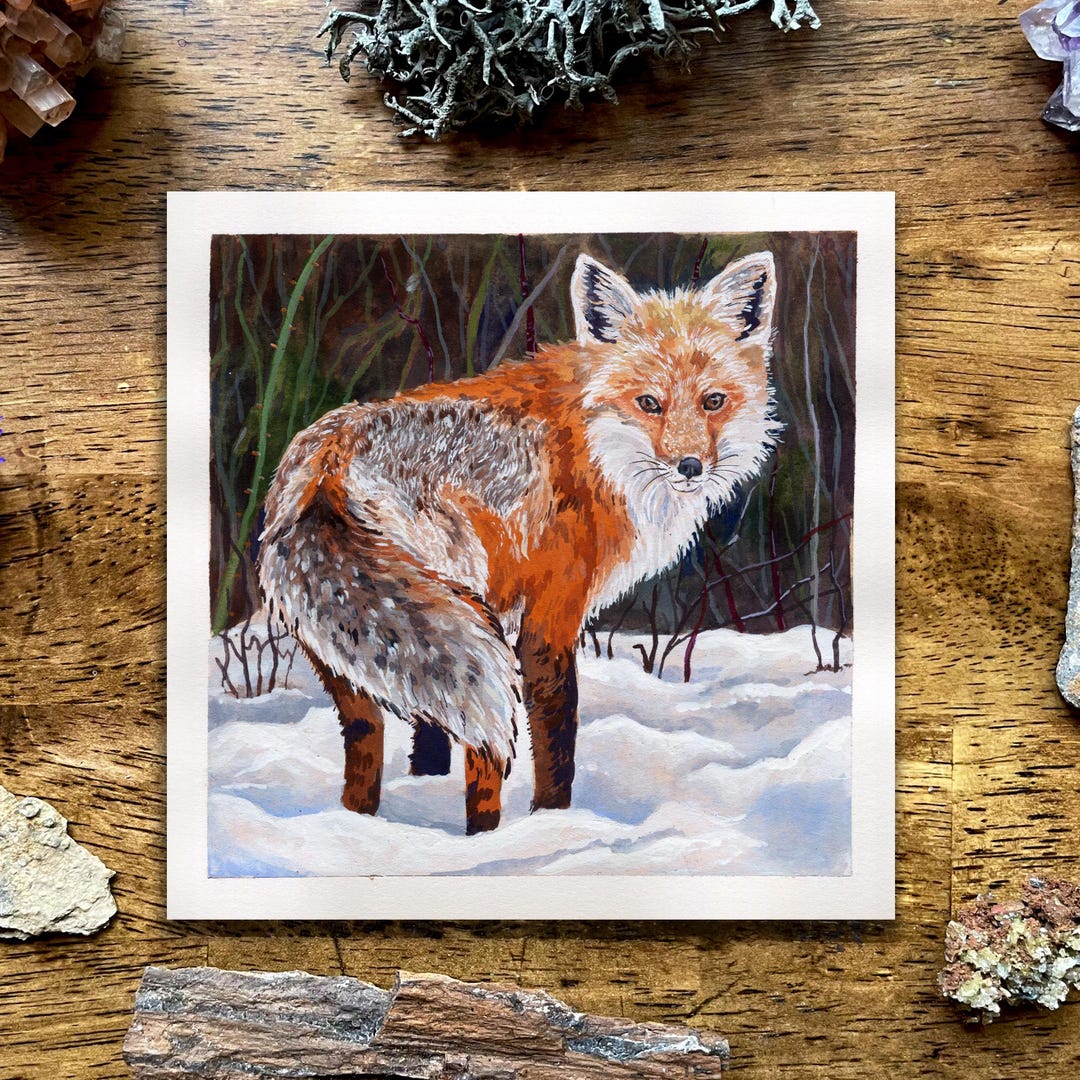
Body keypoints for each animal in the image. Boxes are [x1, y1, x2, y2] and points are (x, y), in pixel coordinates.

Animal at [258, 250, 779, 835]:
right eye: (649, 403)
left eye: (713, 401)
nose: (690, 466)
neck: (594, 448)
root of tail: (332, 457)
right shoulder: (551, 614)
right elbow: (556, 737)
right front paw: (554, 820)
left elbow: (433, 732)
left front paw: (428, 785)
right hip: (458, 616)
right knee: (482, 754)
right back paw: (484, 838)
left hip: (360, 642)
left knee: (372, 736)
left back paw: (359, 824)